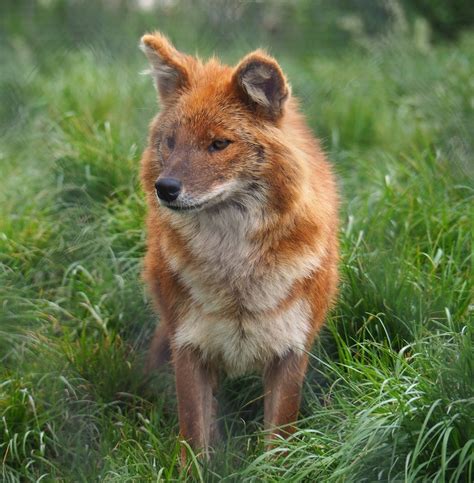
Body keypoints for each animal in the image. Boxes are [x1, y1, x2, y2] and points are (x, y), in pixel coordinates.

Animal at [139, 33, 338, 462]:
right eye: (170, 142)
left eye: (219, 143)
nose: (166, 188)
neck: (235, 271)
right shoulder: (188, 345)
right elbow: (195, 436)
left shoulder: (291, 348)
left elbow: (278, 439)